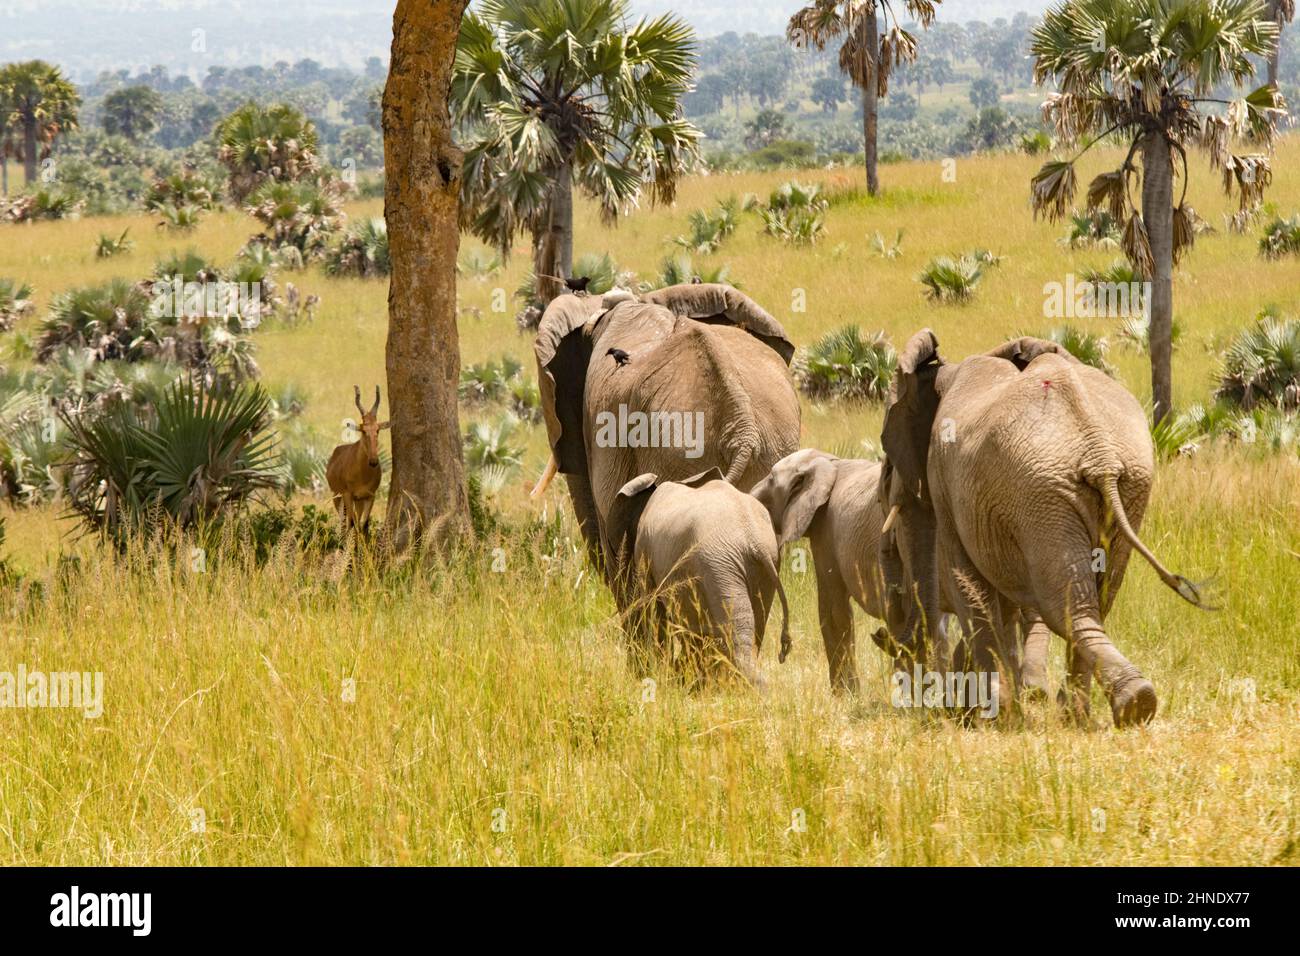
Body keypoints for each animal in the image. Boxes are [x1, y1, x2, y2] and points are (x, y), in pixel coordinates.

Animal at [608, 468, 790, 686]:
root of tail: (755, 541)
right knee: (752, 630)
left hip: (717, 564)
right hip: (760, 568)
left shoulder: (644, 549)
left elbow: (654, 613)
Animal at [878, 329, 1201, 723]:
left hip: (1042, 489)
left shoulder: (946, 479)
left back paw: (1104, 706)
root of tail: (1099, 452)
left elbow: (967, 581)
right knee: (1095, 599)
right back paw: (1103, 708)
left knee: (1062, 604)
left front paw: (993, 712)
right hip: (1121, 485)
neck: (945, 371)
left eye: (888, 463)